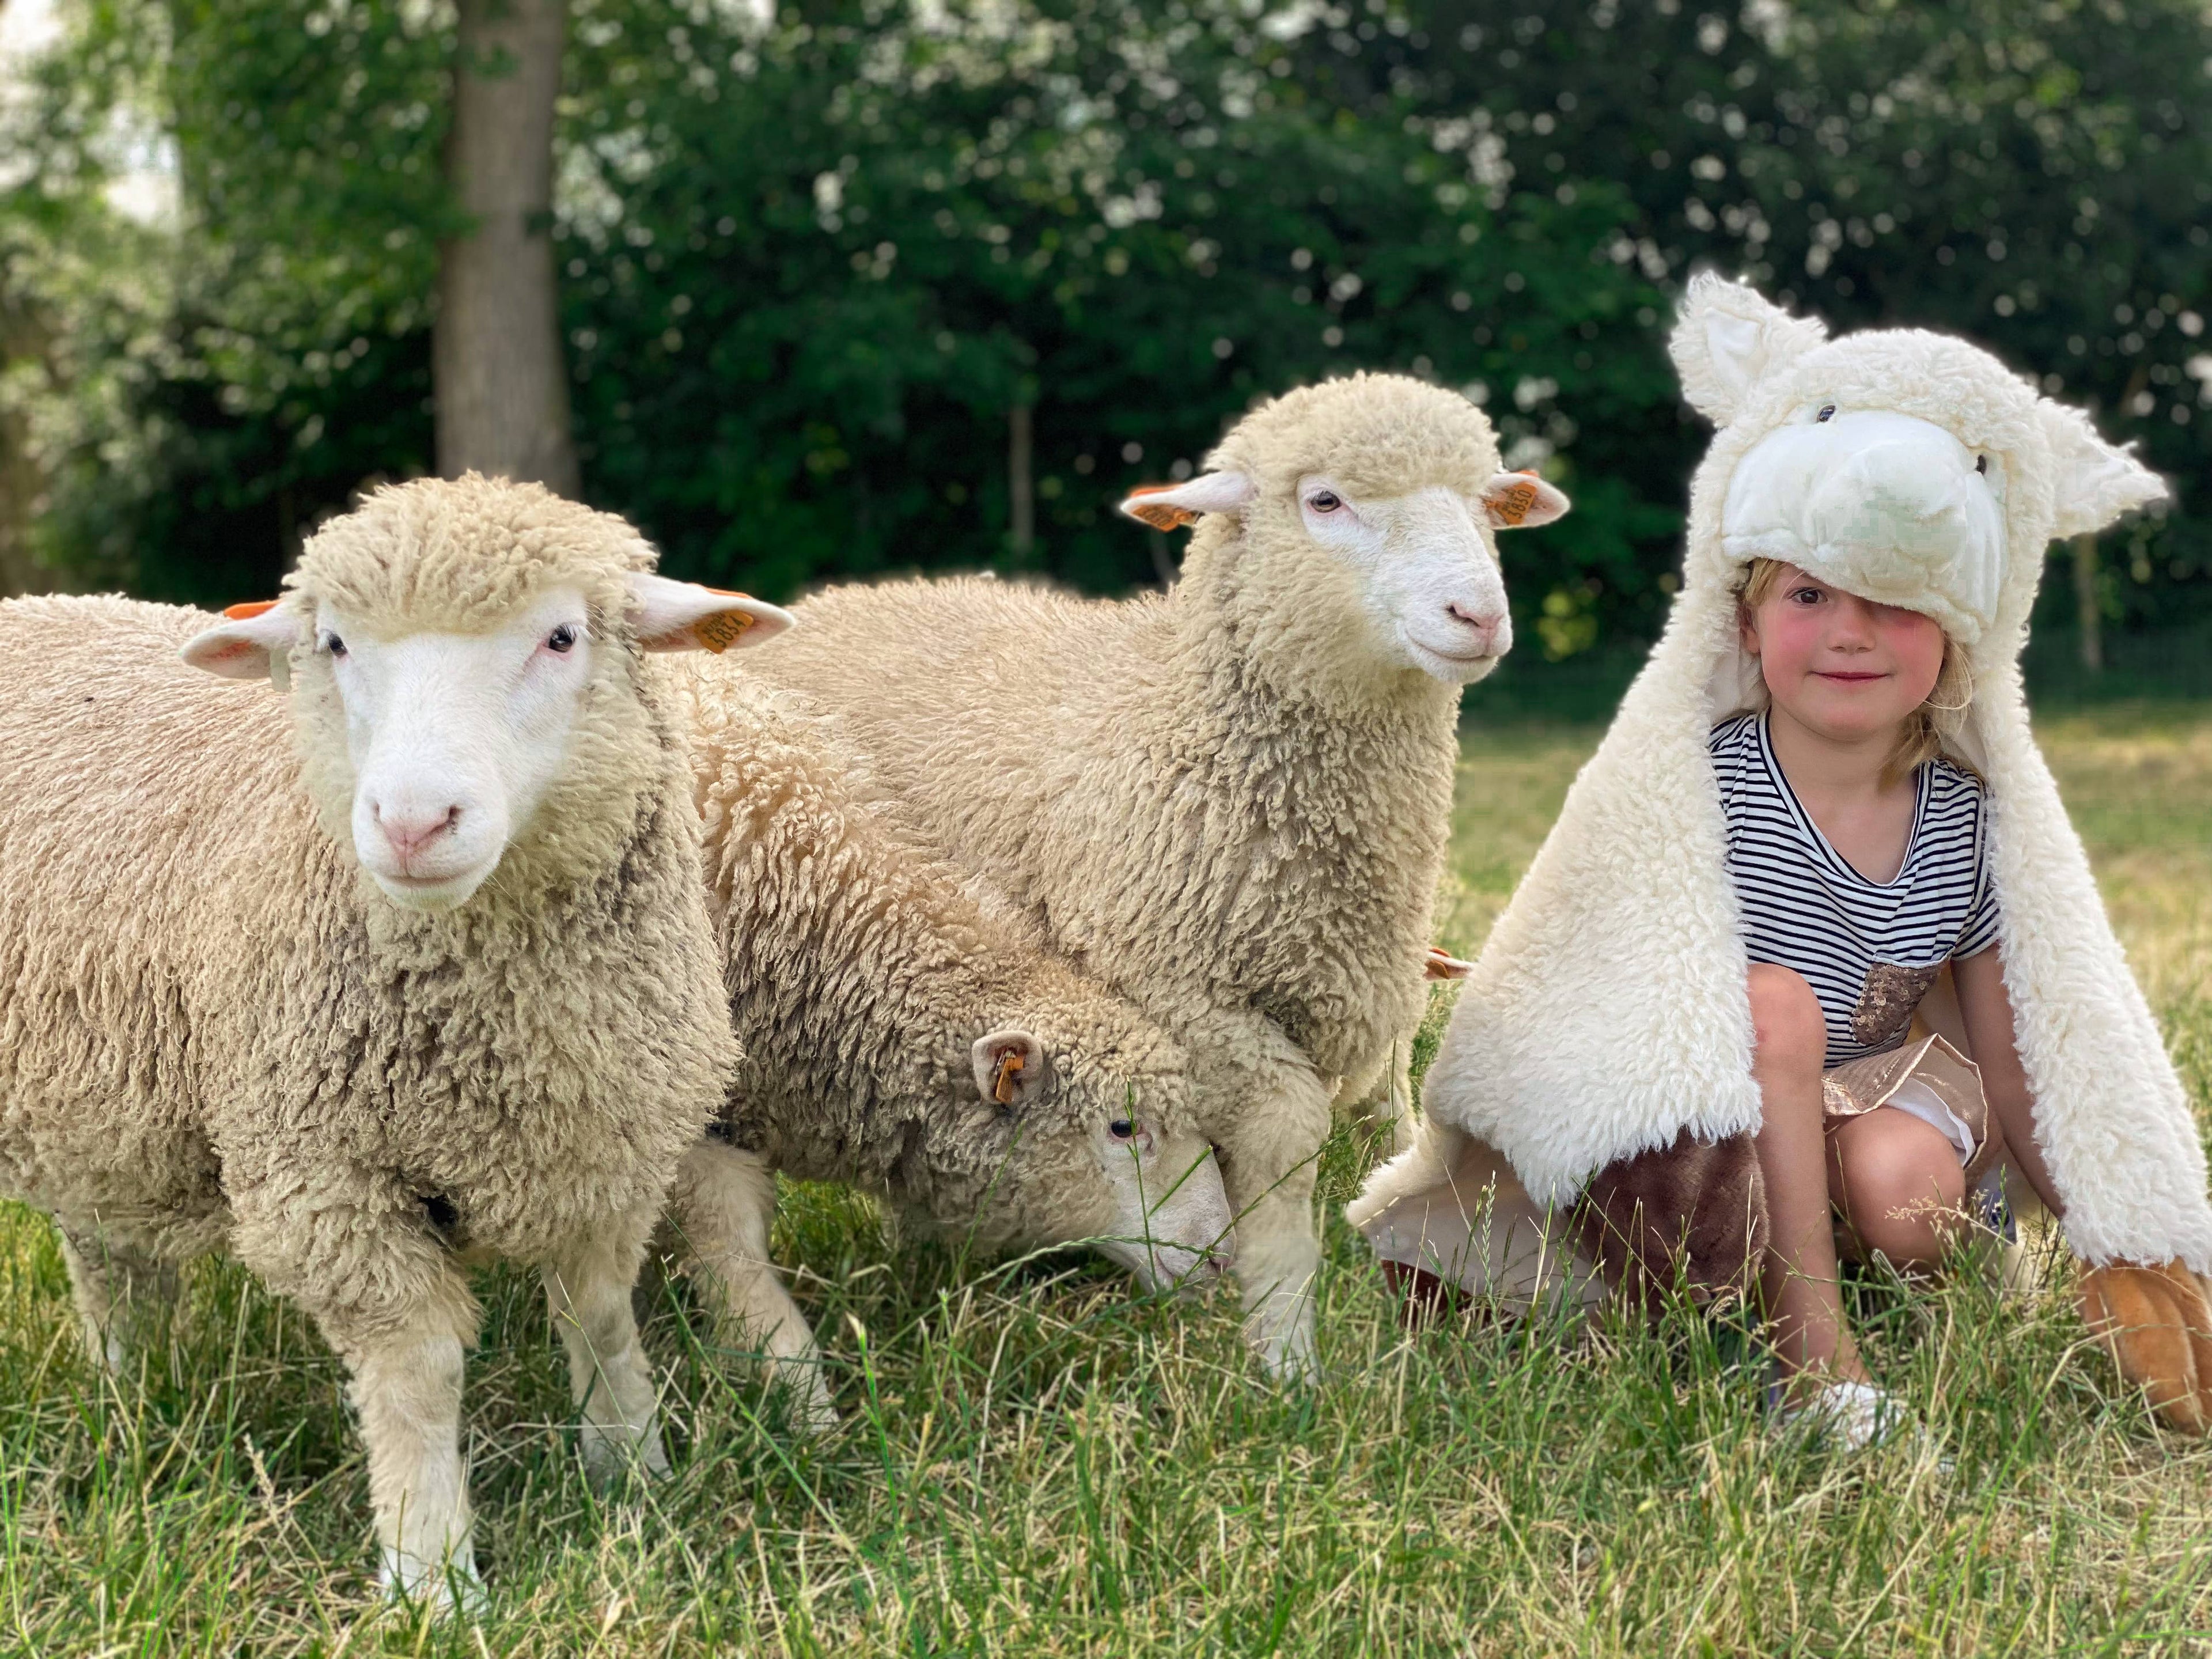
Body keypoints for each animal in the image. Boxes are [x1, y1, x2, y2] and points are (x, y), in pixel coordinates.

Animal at [0, 475, 786, 1604]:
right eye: (331, 643)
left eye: (562, 636)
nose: (413, 823)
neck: (503, 1041)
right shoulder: (324, 1181)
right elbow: (418, 1373)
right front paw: (432, 1576)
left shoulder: (607, 1145)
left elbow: (598, 1312)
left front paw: (636, 1477)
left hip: (99, 1108)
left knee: (106, 1254)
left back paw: (133, 1401)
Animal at [740, 373, 1570, 1376]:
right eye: (1325, 501)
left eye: (1489, 506)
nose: (1478, 617)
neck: (1180, 719)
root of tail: (829, 602)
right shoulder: (1174, 996)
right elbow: (1285, 1135)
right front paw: (1284, 1346)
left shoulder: (1358, 986)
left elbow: (1375, 1110)